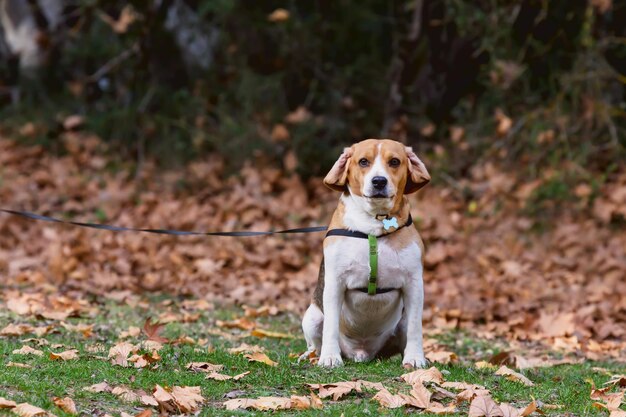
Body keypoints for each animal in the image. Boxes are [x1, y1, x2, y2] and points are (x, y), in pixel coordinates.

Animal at [298, 138, 426, 366]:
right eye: (363, 161)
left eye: (394, 161)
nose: (379, 181)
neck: (374, 224)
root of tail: (361, 353)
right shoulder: (334, 283)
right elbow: (330, 327)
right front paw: (330, 358)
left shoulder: (414, 284)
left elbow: (415, 328)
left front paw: (415, 358)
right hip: (312, 317)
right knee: (315, 342)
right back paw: (313, 355)